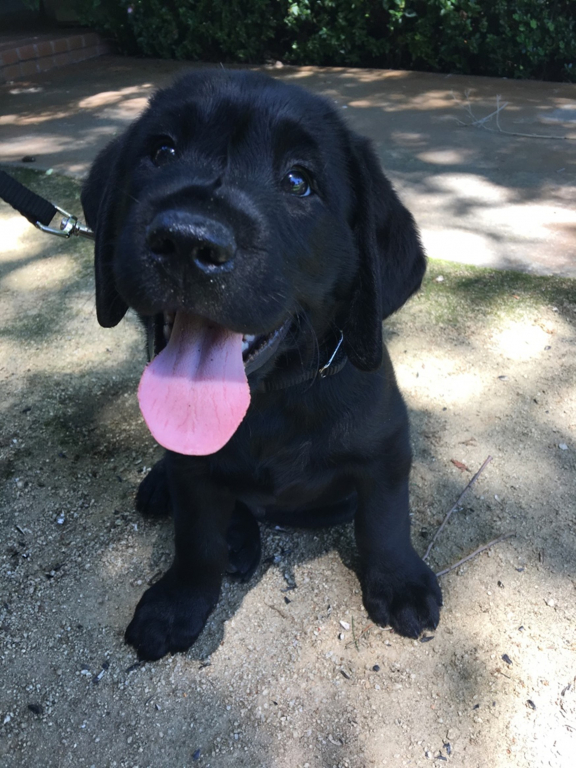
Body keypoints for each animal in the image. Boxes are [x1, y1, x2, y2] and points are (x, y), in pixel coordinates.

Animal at [81, 70, 440, 660]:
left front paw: (400, 582)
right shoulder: (194, 471)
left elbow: (385, 521)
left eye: (298, 181)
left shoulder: (385, 451)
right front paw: (178, 601)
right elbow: (196, 538)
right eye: (162, 151)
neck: (271, 399)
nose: (187, 240)